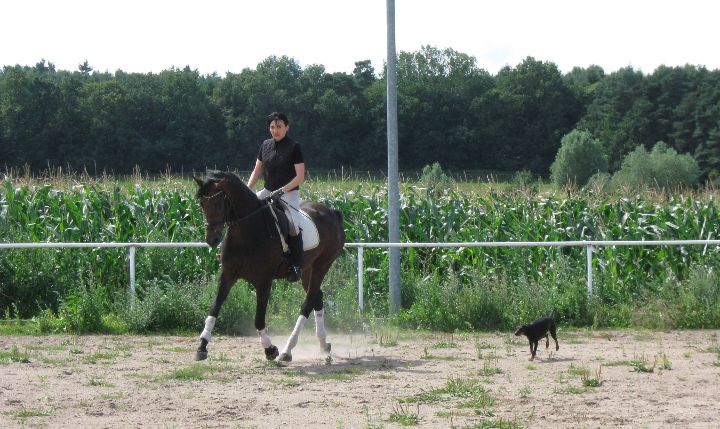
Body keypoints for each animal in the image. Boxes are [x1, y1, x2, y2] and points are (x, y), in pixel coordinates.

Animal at [194, 170, 346, 362]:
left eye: (218, 202)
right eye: (202, 203)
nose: (211, 240)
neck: (246, 231)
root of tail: (332, 212)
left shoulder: (264, 281)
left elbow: (259, 318)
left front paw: (270, 349)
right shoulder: (227, 275)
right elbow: (214, 308)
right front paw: (202, 346)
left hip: (322, 265)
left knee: (308, 302)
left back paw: (288, 350)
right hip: (307, 270)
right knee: (317, 297)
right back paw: (324, 345)